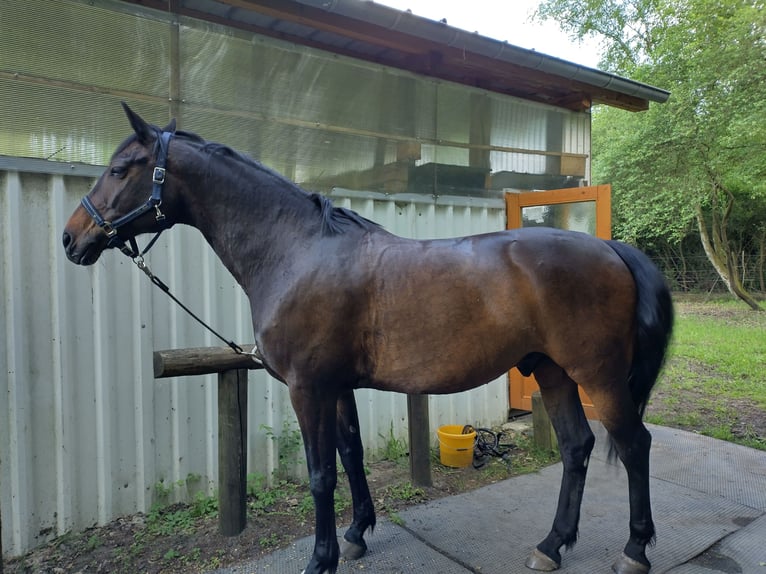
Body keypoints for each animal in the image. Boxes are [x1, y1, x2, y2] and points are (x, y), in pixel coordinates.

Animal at [61, 104, 672, 574]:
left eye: (121, 169)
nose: (71, 238)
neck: (297, 251)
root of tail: (611, 248)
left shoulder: (308, 388)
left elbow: (320, 473)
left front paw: (321, 558)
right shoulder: (338, 386)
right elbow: (350, 454)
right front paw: (356, 536)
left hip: (598, 378)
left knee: (634, 445)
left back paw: (634, 550)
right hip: (552, 370)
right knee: (577, 447)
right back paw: (551, 545)